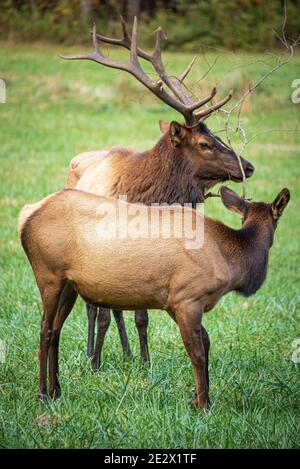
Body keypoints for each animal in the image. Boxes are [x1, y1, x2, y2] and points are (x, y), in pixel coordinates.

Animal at [18, 186, 290, 406]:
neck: (231, 263)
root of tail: (25, 217)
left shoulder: (173, 303)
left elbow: (206, 342)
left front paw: (197, 398)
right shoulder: (187, 298)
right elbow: (197, 353)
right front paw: (203, 404)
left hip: (69, 286)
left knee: (55, 331)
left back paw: (57, 390)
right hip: (48, 275)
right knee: (44, 330)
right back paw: (43, 394)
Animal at [62, 16, 254, 370]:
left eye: (217, 136)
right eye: (205, 143)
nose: (247, 166)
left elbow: (139, 314)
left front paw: (143, 360)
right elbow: (110, 311)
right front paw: (99, 363)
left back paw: (123, 351)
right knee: (95, 307)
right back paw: (92, 353)